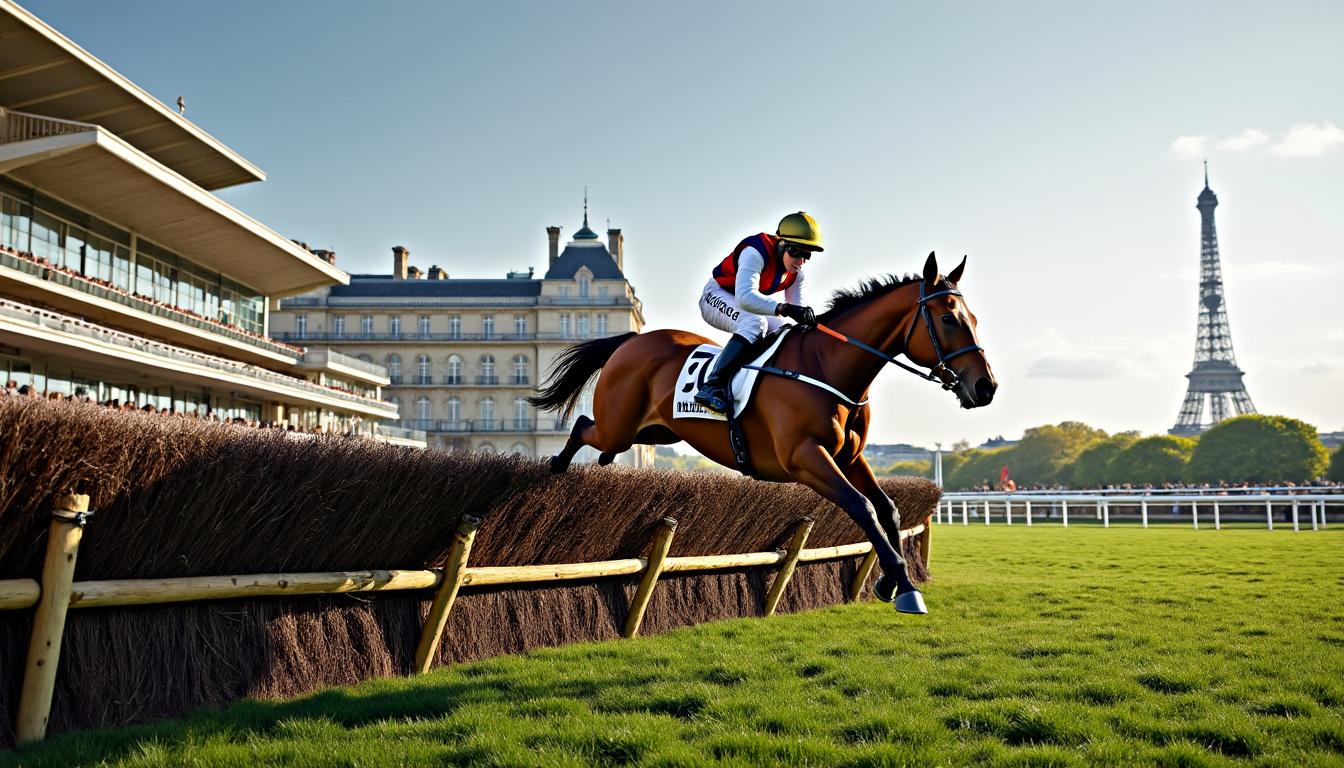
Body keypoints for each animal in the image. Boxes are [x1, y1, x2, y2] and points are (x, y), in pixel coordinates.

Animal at [529, 252, 996, 613]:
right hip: (621, 425)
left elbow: (888, 509)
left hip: (658, 431)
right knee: (584, 427)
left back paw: (596, 464)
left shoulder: (849, 458)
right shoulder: (806, 458)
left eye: (974, 317)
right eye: (948, 318)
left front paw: (889, 580)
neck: (827, 366)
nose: (985, 387)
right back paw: (557, 466)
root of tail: (630, 341)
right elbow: (862, 507)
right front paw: (905, 586)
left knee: (600, 436)